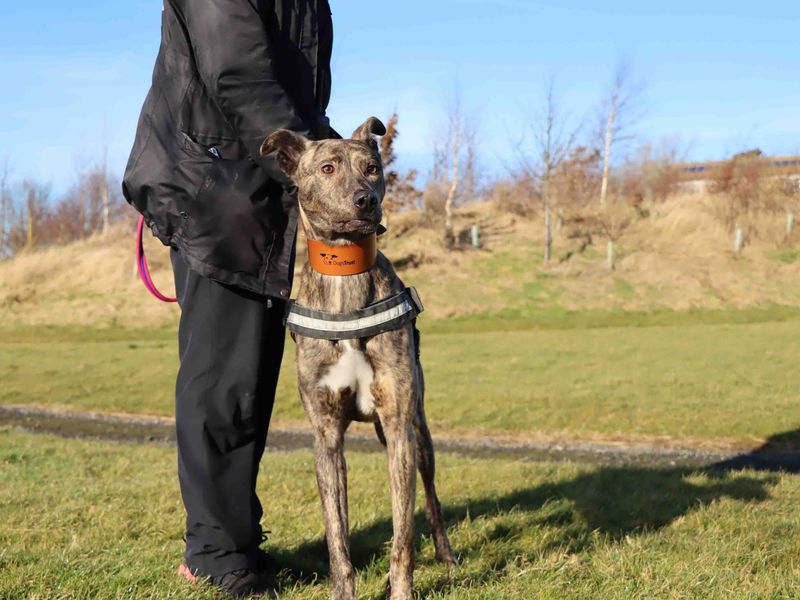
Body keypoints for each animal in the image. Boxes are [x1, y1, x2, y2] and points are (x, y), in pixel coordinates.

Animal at [262, 118, 456, 600]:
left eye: (372, 167)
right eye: (328, 168)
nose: (365, 199)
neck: (344, 283)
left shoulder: (399, 425)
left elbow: (403, 538)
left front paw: (400, 589)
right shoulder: (326, 437)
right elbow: (337, 534)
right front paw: (343, 589)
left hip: (417, 433)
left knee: (430, 497)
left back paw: (446, 556)